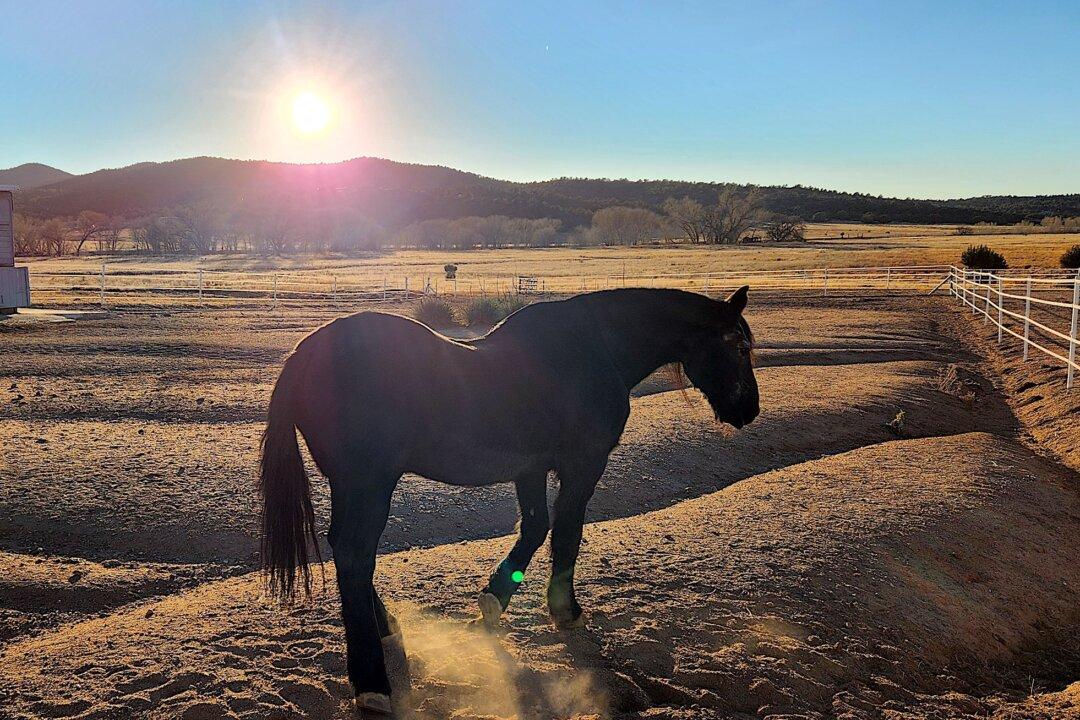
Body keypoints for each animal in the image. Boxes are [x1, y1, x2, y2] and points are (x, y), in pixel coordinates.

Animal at [259, 286, 760, 714]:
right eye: (739, 346)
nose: (749, 410)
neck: (595, 349)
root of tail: (303, 355)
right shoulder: (583, 465)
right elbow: (567, 533)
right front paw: (565, 610)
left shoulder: (530, 469)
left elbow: (536, 527)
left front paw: (494, 599)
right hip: (368, 484)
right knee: (354, 554)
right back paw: (372, 683)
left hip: (352, 486)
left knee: (346, 552)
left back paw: (386, 628)